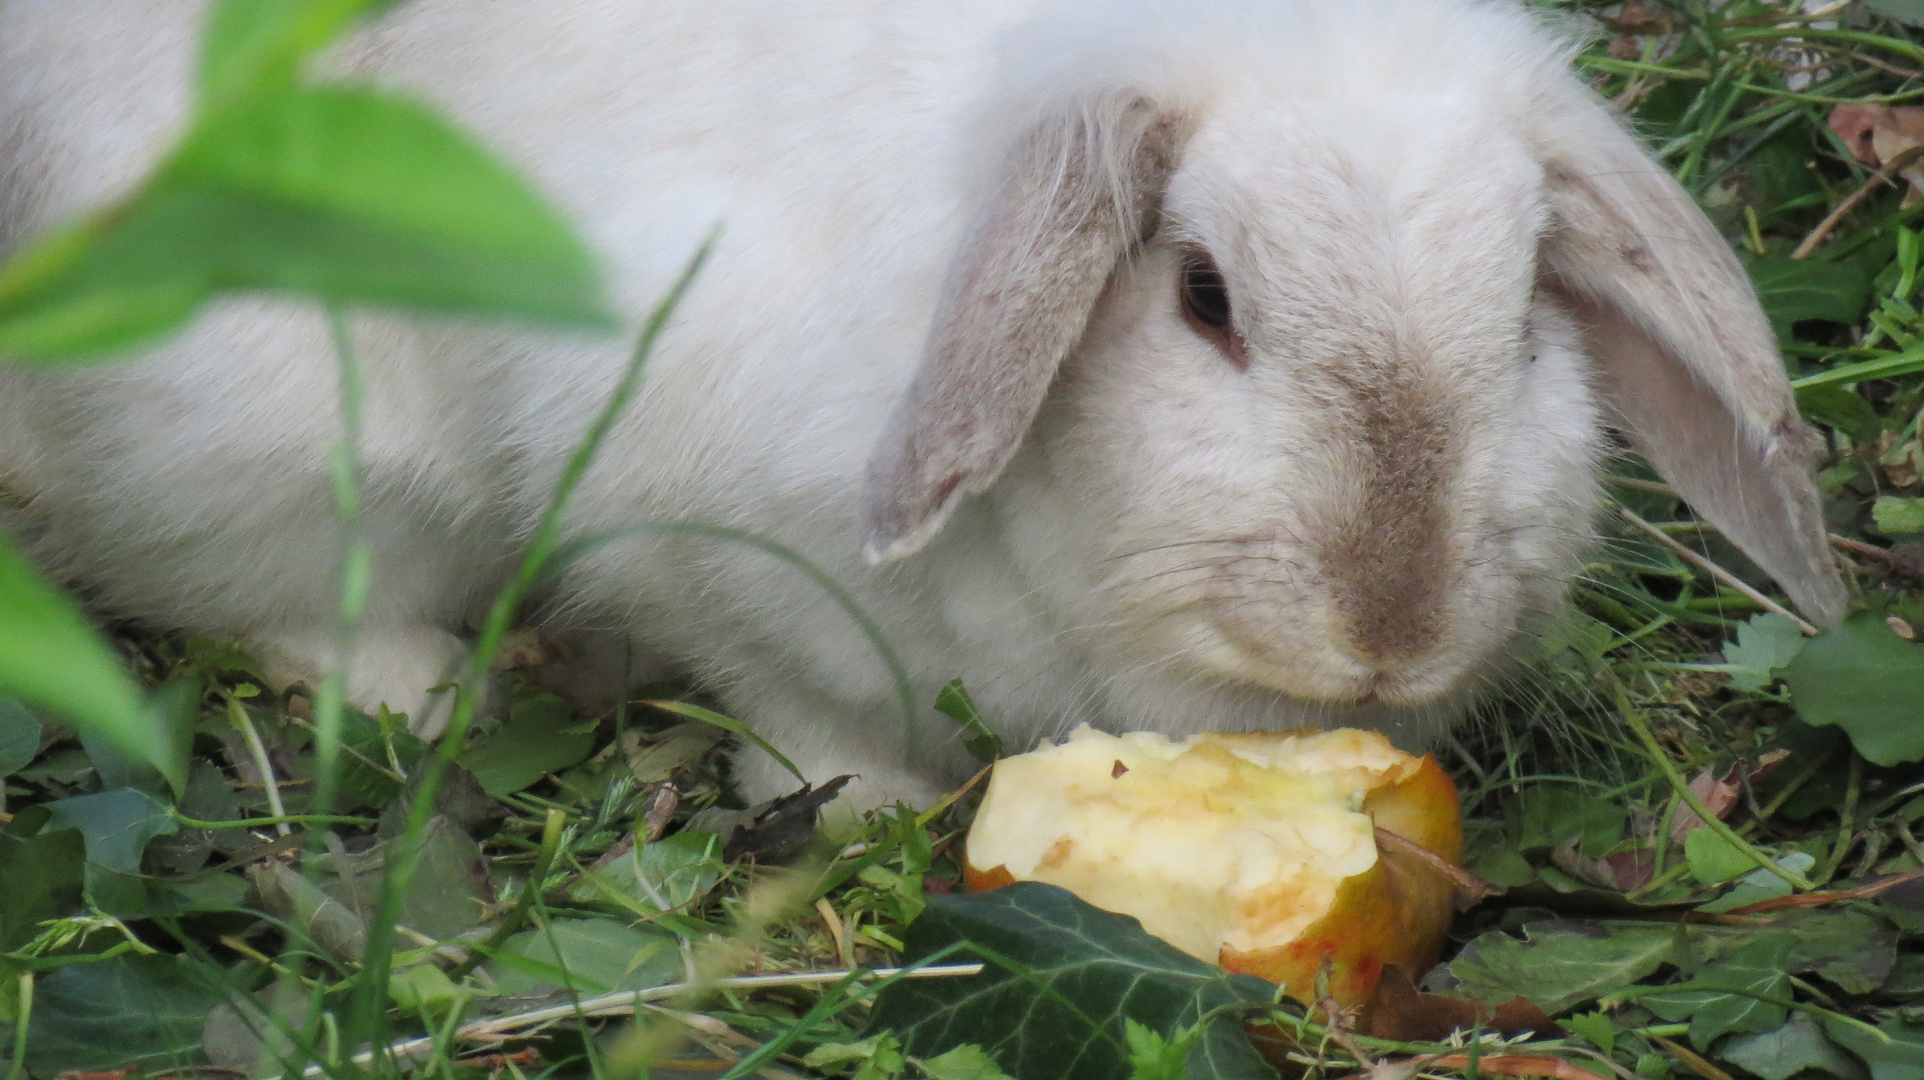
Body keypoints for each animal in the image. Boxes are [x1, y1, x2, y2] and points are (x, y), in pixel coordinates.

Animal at [0, 0, 1847, 808]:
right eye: (1202, 298)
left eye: (1527, 311)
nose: (1389, 628)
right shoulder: (710, 555)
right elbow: (796, 712)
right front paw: (852, 812)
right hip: (287, 436)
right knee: (267, 585)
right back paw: (425, 692)